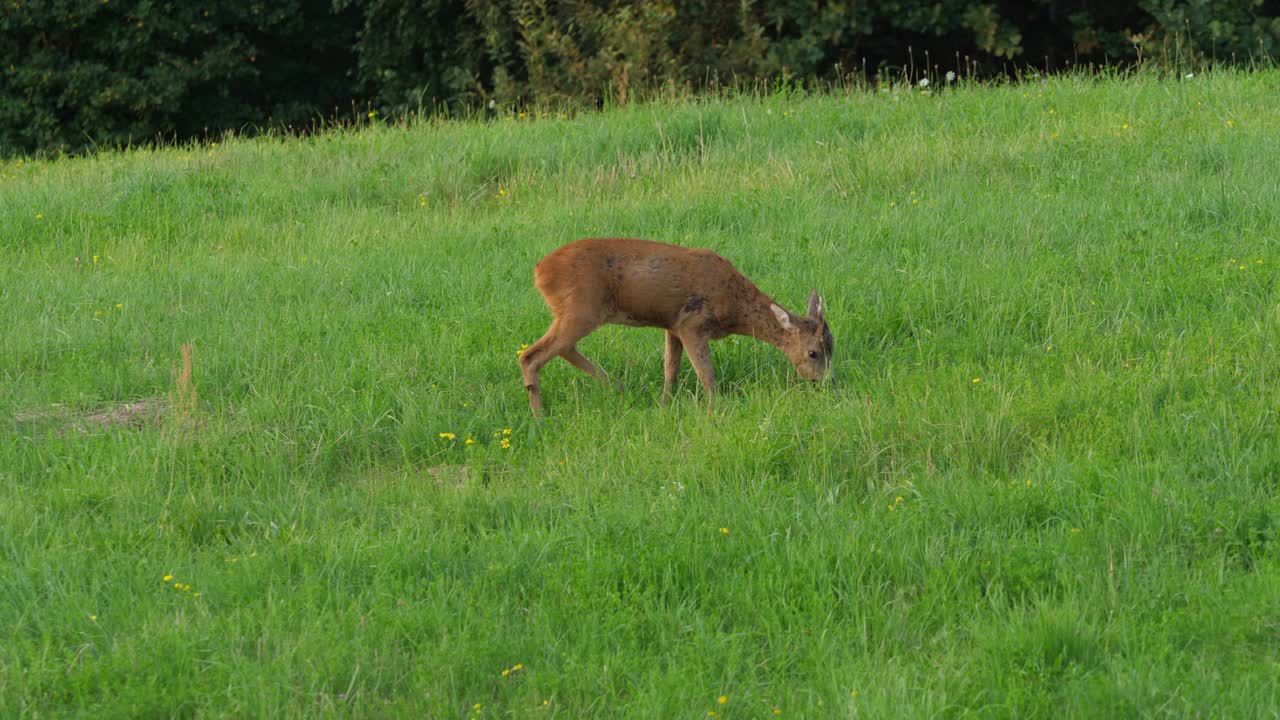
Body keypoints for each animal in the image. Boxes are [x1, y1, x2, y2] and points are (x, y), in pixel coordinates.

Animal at [517, 235, 829, 415]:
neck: (734, 305)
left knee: (562, 349)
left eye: (832, 347)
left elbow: (671, 369)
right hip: (582, 309)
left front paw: (665, 405)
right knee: (531, 355)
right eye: (814, 352)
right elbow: (706, 373)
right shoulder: (693, 322)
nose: (825, 383)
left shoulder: (672, 325)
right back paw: (540, 417)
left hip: (578, 313)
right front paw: (716, 409)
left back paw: (619, 387)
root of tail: (539, 272)